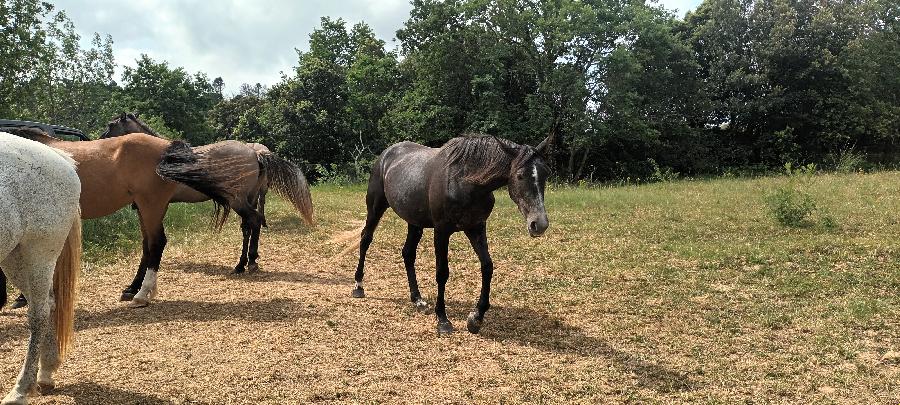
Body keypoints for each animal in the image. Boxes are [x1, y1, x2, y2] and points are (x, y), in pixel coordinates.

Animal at [0, 133, 81, 404]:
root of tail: (61, 159)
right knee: (50, 303)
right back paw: (45, 372)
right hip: (14, 259)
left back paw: (21, 389)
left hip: (39, 255)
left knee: (40, 314)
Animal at [350, 134, 548, 332]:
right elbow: (442, 272)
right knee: (366, 239)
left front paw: (476, 317)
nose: (539, 224)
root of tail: (386, 155)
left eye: (545, 174)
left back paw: (418, 299)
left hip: (415, 223)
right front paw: (442, 319)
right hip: (375, 208)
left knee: (408, 254)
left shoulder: (476, 228)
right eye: (520, 175)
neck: (465, 182)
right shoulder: (442, 231)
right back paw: (358, 286)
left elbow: (487, 266)